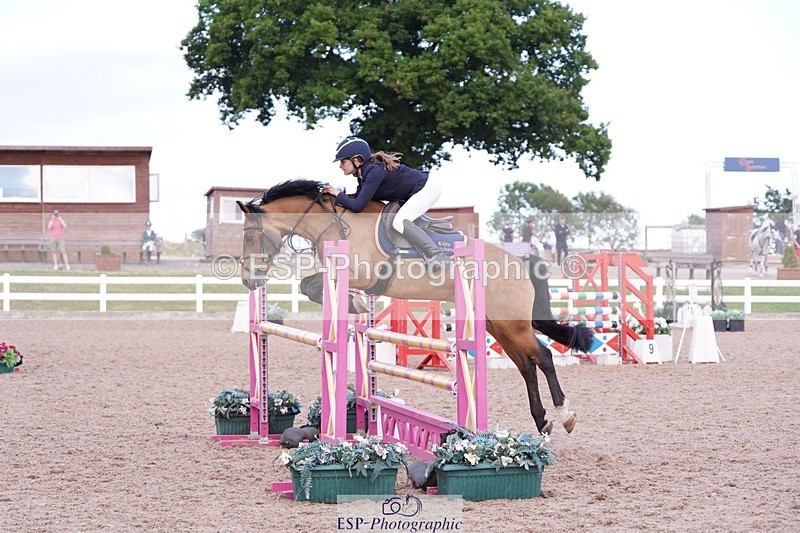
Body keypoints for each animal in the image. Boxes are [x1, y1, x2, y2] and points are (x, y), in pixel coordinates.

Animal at [236, 179, 593, 436]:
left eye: (250, 238)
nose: (249, 280)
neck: (336, 223)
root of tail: (520, 261)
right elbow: (308, 287)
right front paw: (354, 305)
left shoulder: (361, 273)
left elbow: (313, 287)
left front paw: (352, 301)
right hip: (498, 325)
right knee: (526, 366)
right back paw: (542, 421)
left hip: (512, 323)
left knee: (543, 357)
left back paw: (566, 415)